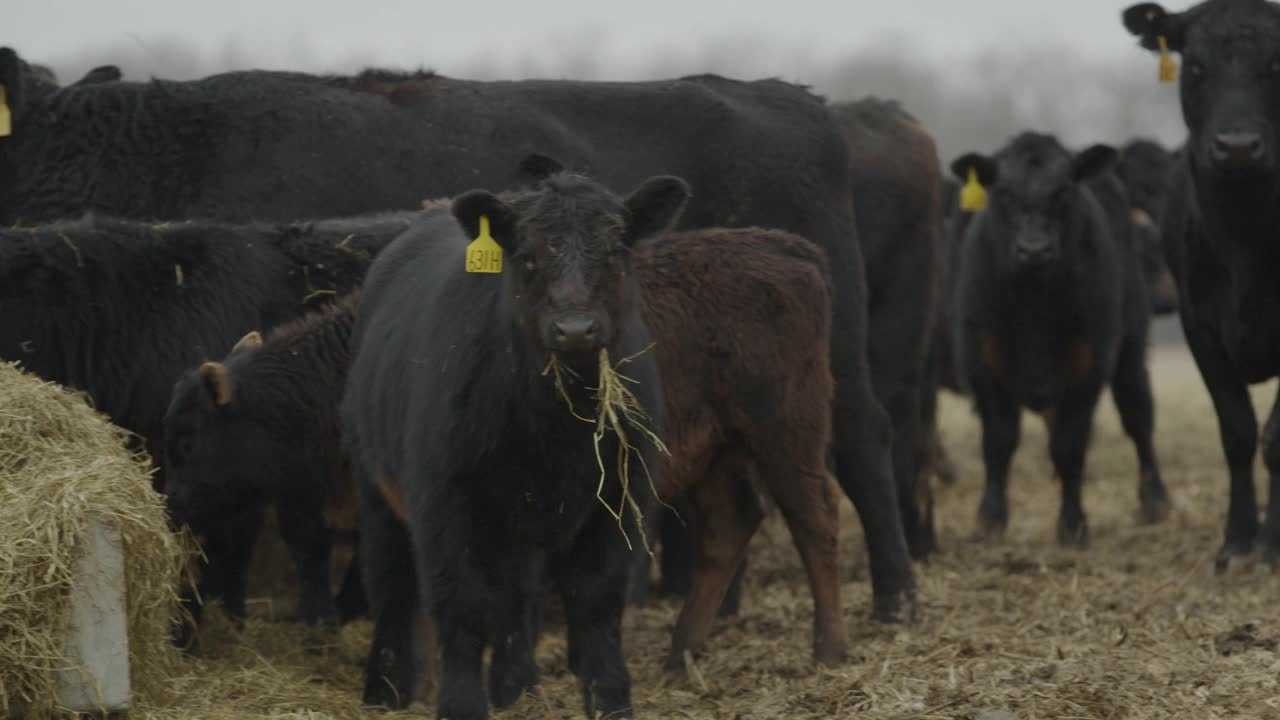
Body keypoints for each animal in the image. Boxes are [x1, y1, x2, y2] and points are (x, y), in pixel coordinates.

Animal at [337, 170, 680, 712]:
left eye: (613, 252)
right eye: (528, 257)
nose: (575, 329)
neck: (556, 424)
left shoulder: (620, 500)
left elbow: (597, 601)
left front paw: (610, 699)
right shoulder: (447, 503)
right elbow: (462, 603)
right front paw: (461, 704)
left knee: (518, 595)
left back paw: (516, 687)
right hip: (377, 489)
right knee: (391, 585)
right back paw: (384, 689)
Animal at [952, 130, 1172, 543]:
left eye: (1065, 191)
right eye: (1004, 192)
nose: (1034, 250)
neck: (1035, 304)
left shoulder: (1088, 367)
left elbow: (1070, 445)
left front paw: (1072, 524)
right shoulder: (982, 361)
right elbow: (999, 441)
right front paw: (990, 519)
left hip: (1131, 349)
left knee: (1138, 417)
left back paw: (1155, 500)